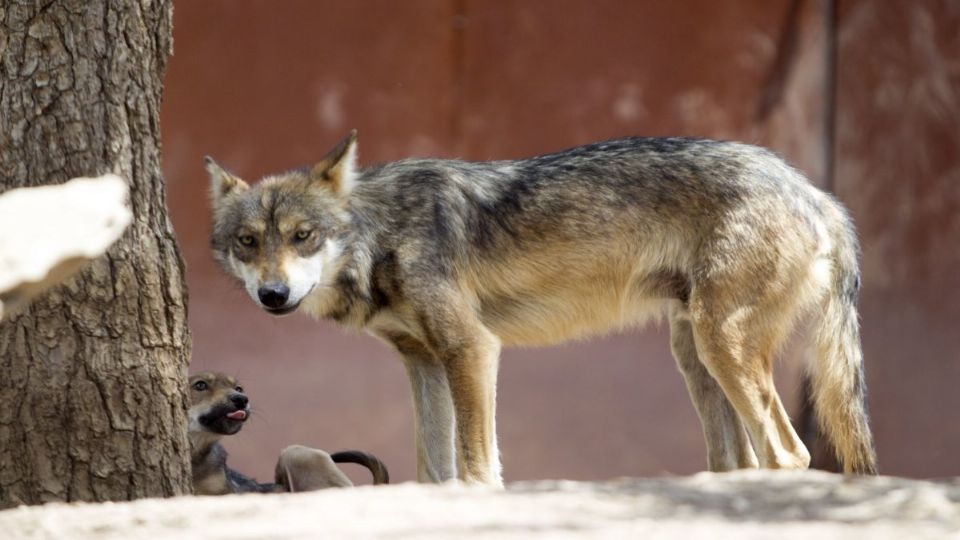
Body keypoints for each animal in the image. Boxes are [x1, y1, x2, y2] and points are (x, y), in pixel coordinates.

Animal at [206, 132, 880, 486]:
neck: (382, 233)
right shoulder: (423, 363)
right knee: (734, 461)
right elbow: (432, 467)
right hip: (696, 358)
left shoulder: (472, 349)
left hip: (723, 348)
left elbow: (478, 468)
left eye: (303, 237)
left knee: (789, 454)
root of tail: (815, 191)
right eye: (248, 242)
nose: (272, 295)